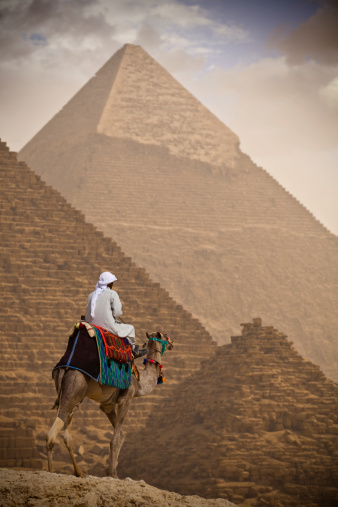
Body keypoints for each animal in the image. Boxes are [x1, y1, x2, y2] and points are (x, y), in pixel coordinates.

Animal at [46, 332, 173, 478]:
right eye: (165, 336)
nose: (172, 343)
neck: (140, 383)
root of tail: (64, 368)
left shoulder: (107, 405)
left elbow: (121, 436)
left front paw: (110, 470)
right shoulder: (126, 399)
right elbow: (115, 439)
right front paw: (112, 473)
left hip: (72, 396)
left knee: (67, 436)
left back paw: (78, 473)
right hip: (73, 390)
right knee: (51, 435)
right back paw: (50, 471)